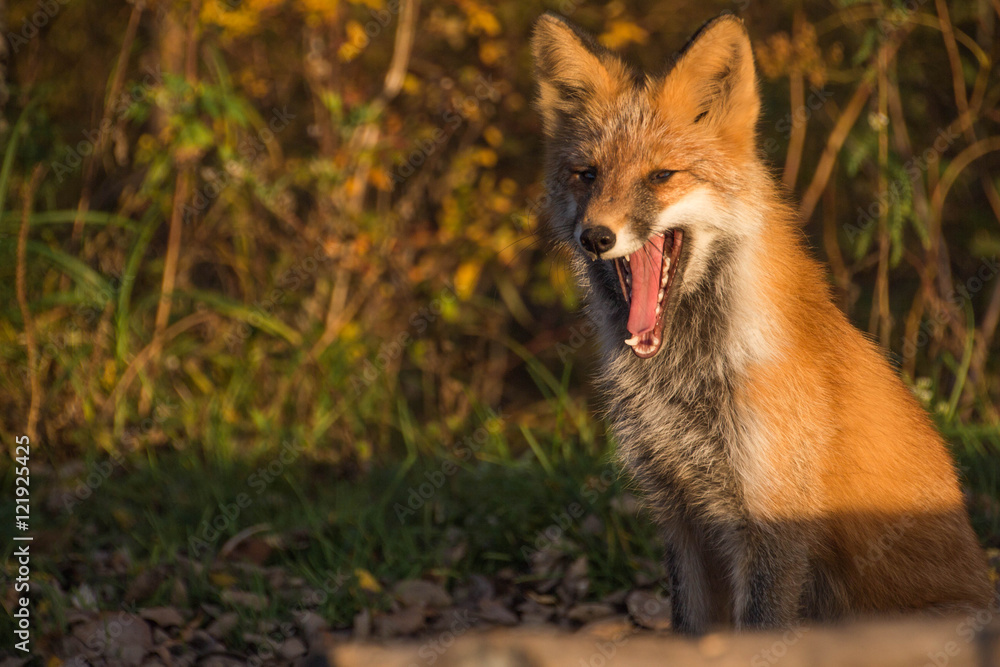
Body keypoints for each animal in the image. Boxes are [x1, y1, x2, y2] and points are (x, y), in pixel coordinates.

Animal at [530, 13, 994, 633]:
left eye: (661, 176)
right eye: (586, 175)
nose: (595, 236)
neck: (684, 383)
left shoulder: (773, 519)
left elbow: (760, 627)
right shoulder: (681, 513)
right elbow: (689, 630)